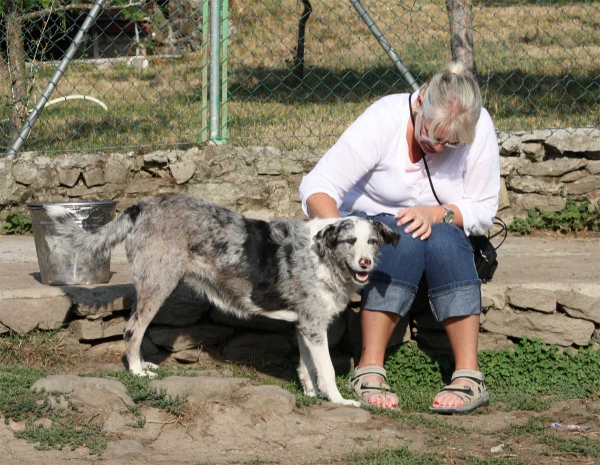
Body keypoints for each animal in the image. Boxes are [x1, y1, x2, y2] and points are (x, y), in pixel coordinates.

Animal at [47, 194, 400, 404]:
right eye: (349, 241)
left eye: (372, 242)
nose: (366, 263)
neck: (322, 256)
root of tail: (143, 205)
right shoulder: (314, 327)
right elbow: (325, 369)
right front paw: (339, 401)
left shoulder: (303, 327)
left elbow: (307, 367)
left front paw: (312, 395)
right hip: (159, 287)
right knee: (132, 330)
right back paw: (136, 371)